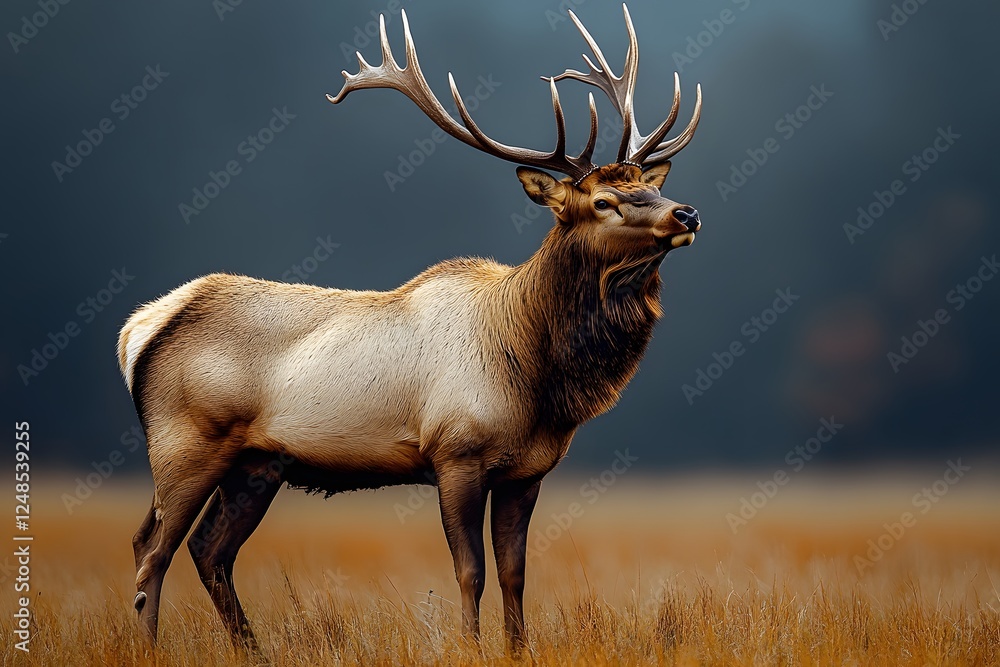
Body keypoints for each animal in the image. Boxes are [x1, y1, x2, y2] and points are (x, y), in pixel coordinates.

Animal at [119, 4, 702, 653]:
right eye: (603, 201)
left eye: (648, 185)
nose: (685, 212)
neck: (536, 373)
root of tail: (140, 327)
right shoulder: (455, 451)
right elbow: (470, 571)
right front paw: (471, 648)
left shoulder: (526, 472)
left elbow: (515, 573)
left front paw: (517, 649)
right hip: (185, 440)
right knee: (151, 548)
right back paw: (149, 647)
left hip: (256, 465)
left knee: (209, 550)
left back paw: (251, 649)